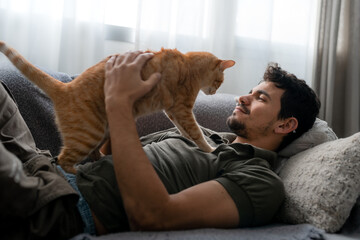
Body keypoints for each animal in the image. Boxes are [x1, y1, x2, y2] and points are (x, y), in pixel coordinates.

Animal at [0, 40, 235, 172]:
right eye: (219, 82)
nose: (215, 91)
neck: (188, 65)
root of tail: (66, 87)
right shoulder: (182, 110)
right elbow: (197, 133)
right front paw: (211, 149)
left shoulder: (173, 112)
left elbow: (186, 131)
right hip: (89, 134)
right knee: (63, 160)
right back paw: (80, 173)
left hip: (101, 133)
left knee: (89, 155)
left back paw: (103, 160)